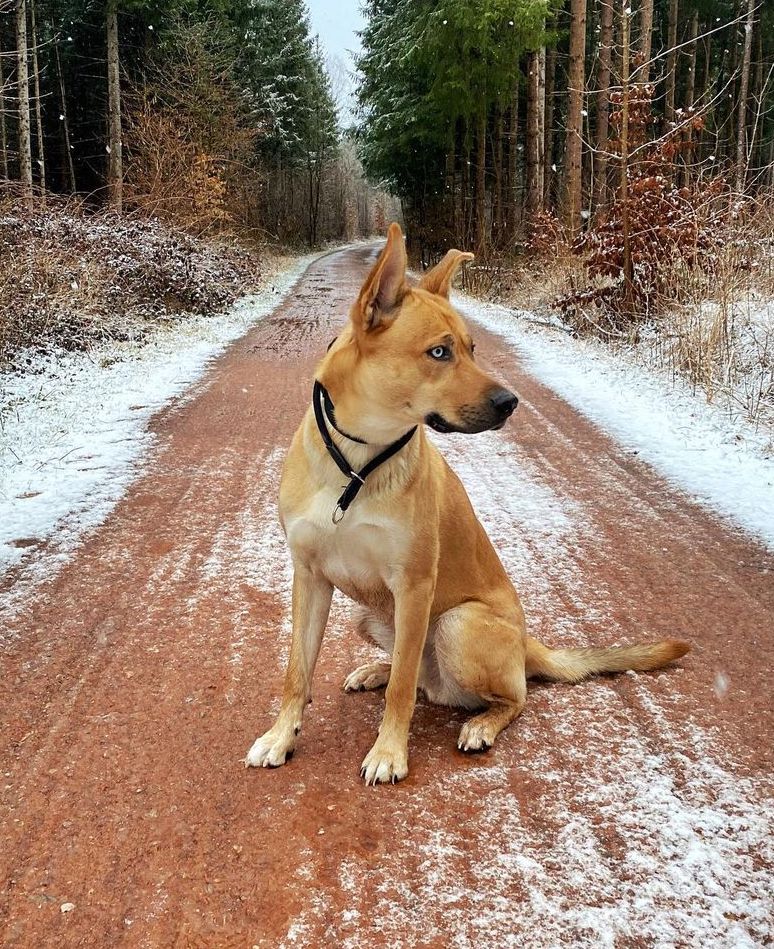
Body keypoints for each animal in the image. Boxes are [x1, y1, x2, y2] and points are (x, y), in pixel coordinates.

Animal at [244, 224, 692, 784]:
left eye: (472, 348)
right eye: (440, 352)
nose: (510, 403)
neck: (356, 462)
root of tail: (526, 642)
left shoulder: (414, 585)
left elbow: (400, 693)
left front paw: (389, 752)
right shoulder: (309, 577)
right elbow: (296, 672)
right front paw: (281, 736)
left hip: (457, 624)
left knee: (507, 697)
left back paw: (479, 723)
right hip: (370, 615)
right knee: (416, 675)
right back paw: (376, 669)